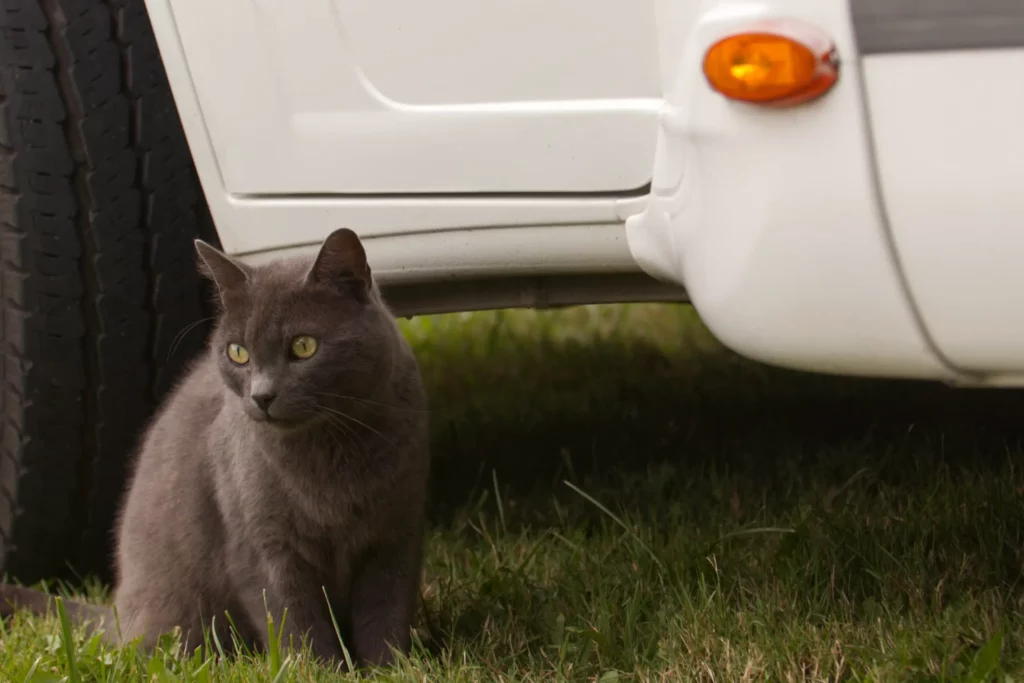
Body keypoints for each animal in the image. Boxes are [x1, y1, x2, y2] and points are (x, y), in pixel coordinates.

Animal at [0, 228, 428, 667]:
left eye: (304, 346)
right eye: (237, 353)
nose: (262, 396)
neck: (329, 453)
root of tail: (118, 613)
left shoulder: (398, 534)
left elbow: (385, 611)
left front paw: (389, 668)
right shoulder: (262, 546)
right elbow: (296, 621)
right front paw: (322, 670)